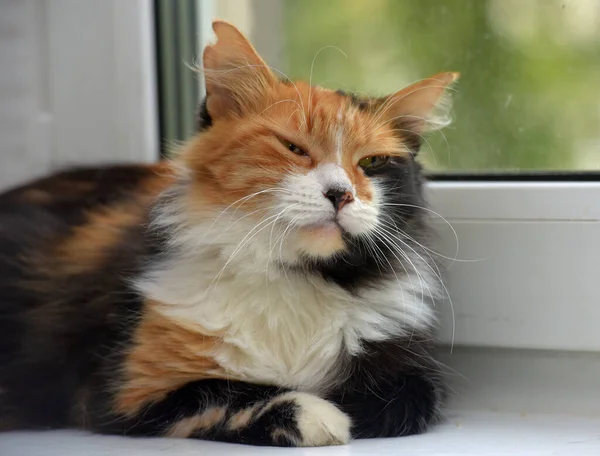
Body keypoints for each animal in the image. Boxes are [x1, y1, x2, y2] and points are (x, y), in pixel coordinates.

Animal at [0, 19, 458, 448]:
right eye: (293, 148)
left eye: (373, 162)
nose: (340, 194)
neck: (294, 281)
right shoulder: (128, 389)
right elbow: (230, 393)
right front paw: (320, 415)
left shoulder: (413, 376)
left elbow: (395, 402)